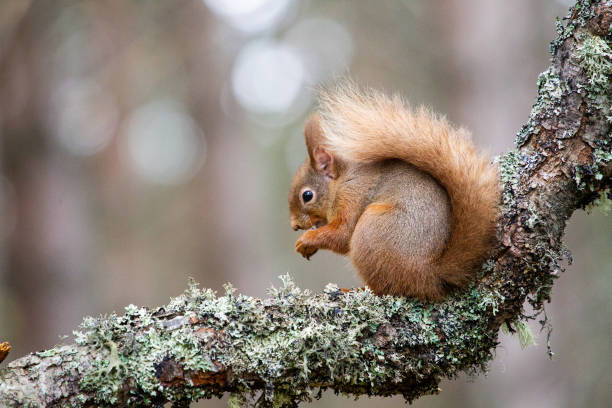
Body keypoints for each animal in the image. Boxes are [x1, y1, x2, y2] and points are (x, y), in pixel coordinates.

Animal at [290, 83, 500, 300]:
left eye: (307, 196)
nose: (294, 225)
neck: (341, 182)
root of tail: (429, 273)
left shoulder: (353, 196)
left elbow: (342, 234)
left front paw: (306, 240)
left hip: (372, 231)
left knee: (386, 288)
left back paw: (355, 290)